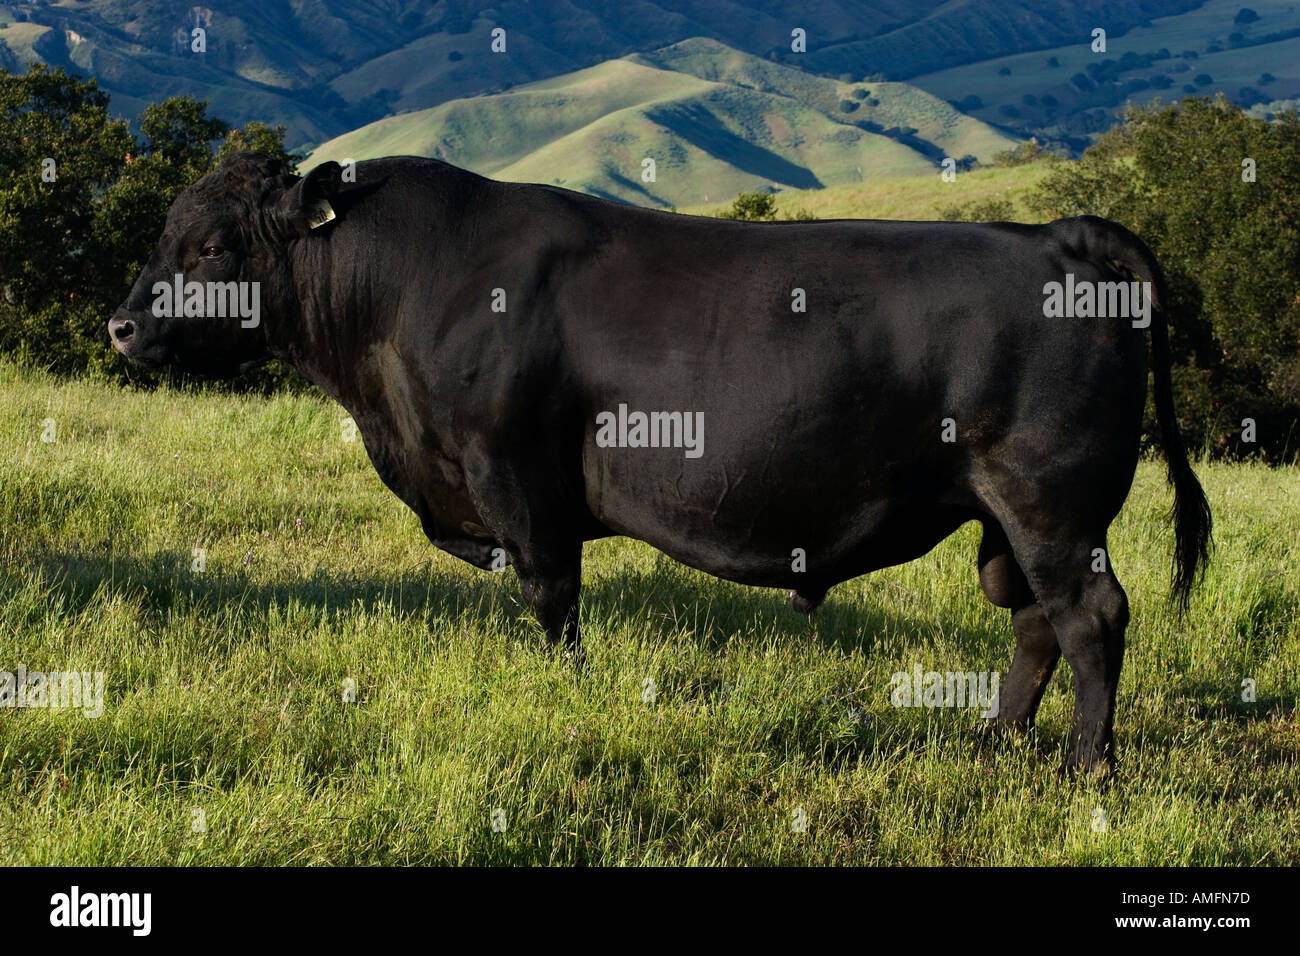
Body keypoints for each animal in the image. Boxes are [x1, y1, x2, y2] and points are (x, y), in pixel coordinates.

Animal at [109, 155, 1206, 770]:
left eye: (211, 246)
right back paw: (996, 741)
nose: (120, 325)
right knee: (1034, 623)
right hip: (1007, 516)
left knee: (1089, 618)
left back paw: (1085, 768)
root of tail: (1056, 236)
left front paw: (563, 697)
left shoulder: (515, 474)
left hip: (1050, 501)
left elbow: (552, 598)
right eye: (167, 235)